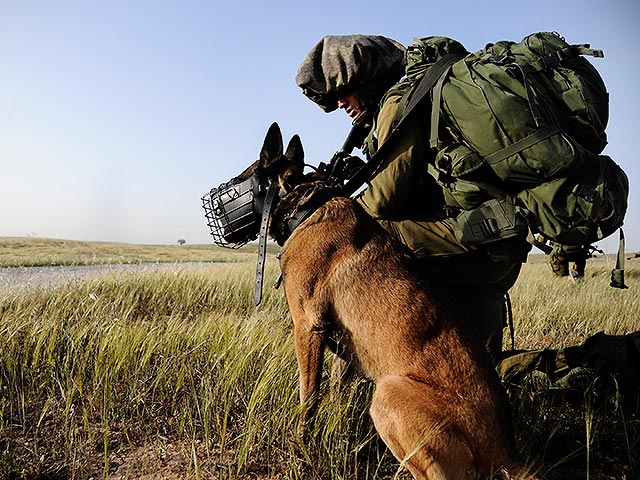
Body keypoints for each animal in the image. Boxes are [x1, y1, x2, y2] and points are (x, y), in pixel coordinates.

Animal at [230, 124, 540, 480]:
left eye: (241, 178)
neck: (306, 203)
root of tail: (506, 453)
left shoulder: (307, 327)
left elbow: (308, 397)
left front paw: (300, 446)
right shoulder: (342, 346)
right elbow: (335, 395)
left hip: (387, 394)